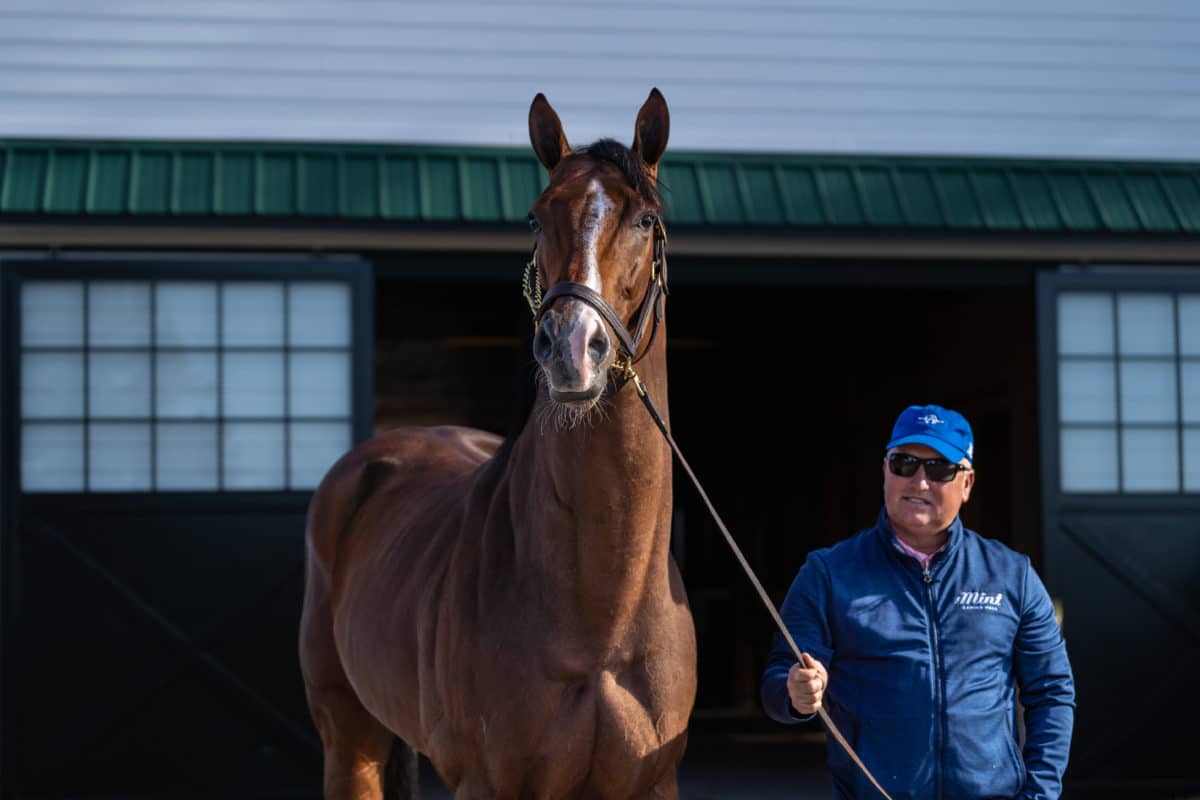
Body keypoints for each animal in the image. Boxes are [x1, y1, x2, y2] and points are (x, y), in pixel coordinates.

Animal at [295, 89, 700, 800]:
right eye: (537, 217)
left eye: (646, 219)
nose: (571, 348)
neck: (604, 616)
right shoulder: (490, 784)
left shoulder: (652, 784)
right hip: (350, 739)